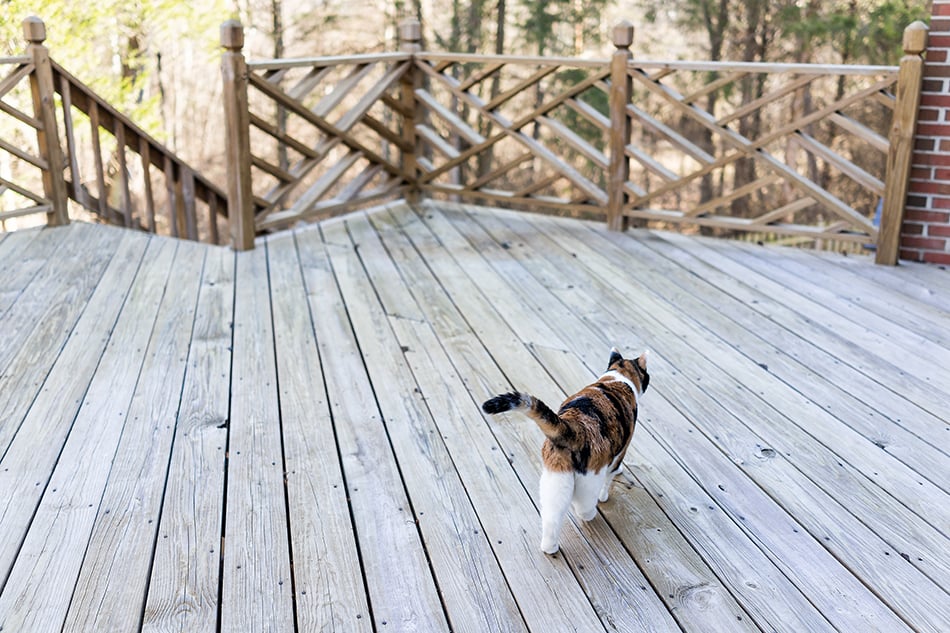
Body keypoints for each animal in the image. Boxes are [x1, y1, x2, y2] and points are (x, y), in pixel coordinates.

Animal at [484, 346, 648, 552]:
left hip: (554, 478)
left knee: (551, 517)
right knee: (583, 508)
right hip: (589, 480)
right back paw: (591, 513)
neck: (617, 378)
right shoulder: (622, 448)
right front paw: (606, 493)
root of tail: (573, 427)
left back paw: (549, 548)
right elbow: (612, 474)